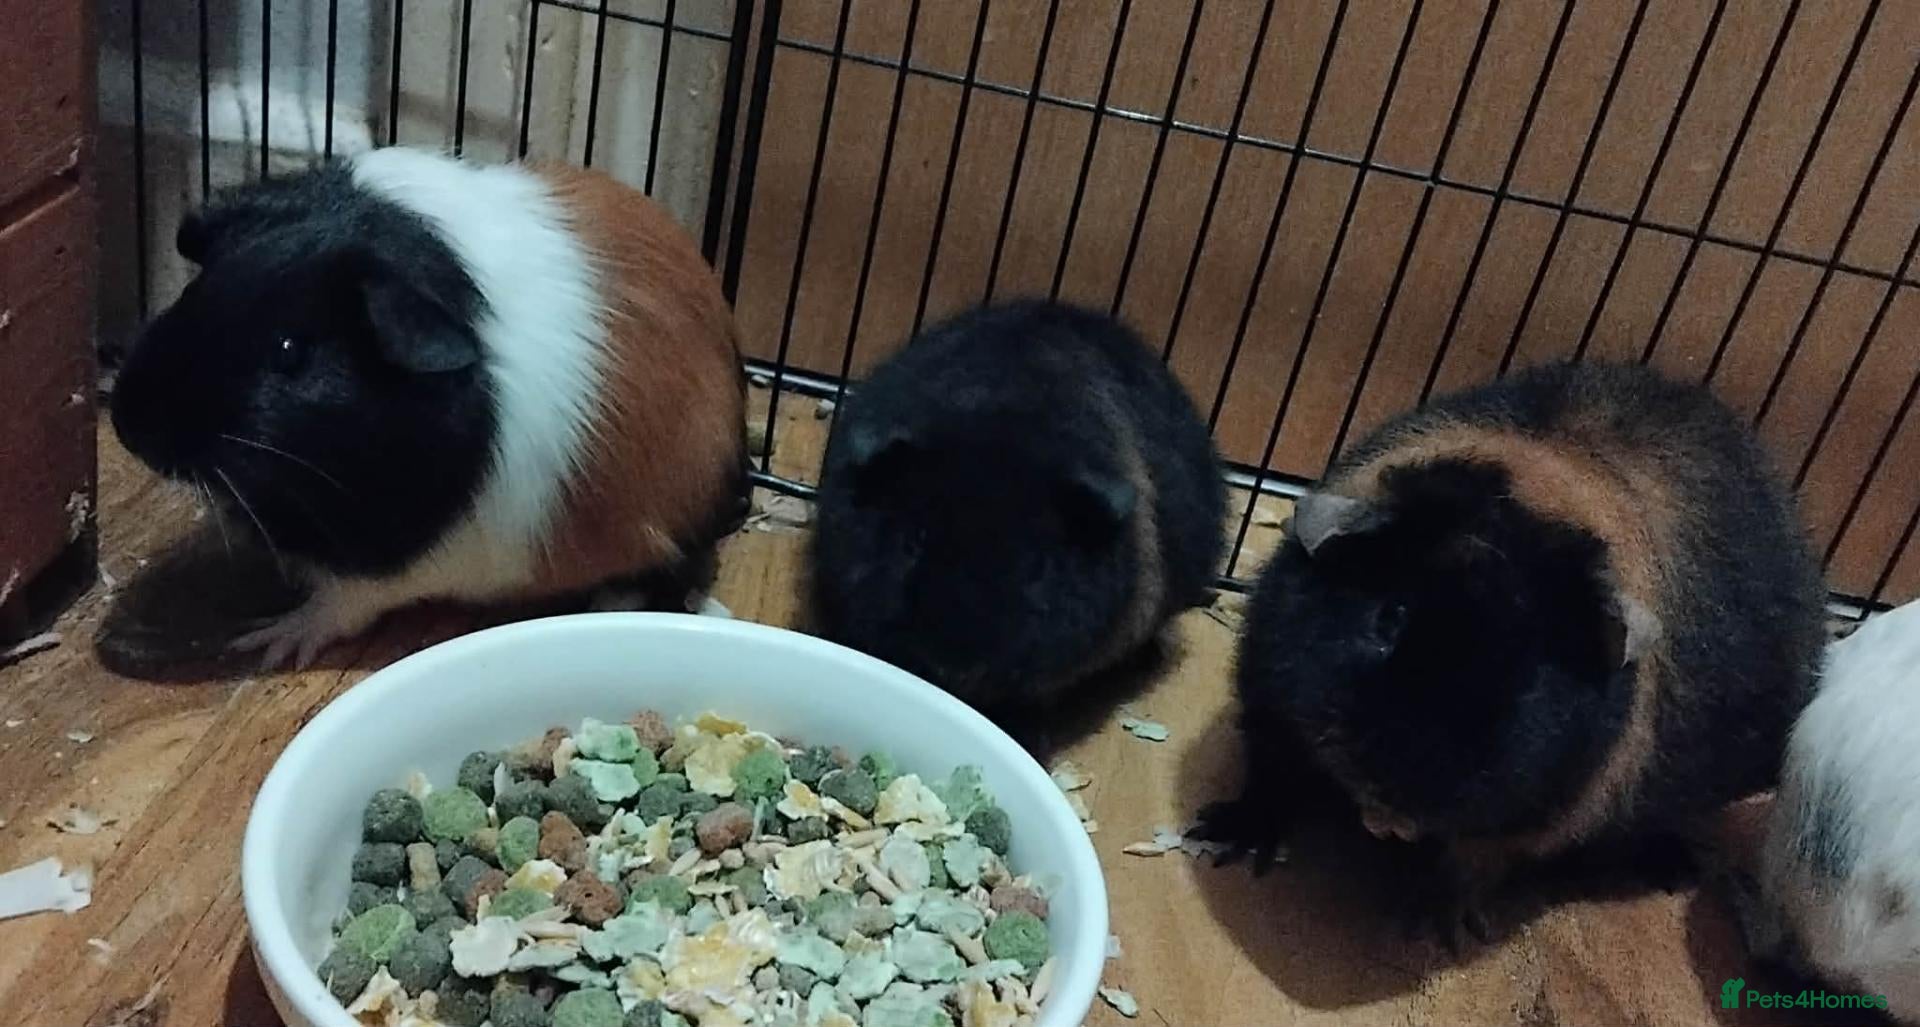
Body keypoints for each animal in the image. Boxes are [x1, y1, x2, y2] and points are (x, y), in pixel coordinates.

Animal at [110, 148, 748, 668]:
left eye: (290, 350)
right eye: (193, 290)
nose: (128, 426)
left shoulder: (404, 559)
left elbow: (342, 604)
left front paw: (269, 642)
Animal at [1200, 361, 1828, 945]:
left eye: (1528, 675)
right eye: (1390, 615)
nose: (1391, 797)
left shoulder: (1529, 821)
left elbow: (1471, 863)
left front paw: (1436, 928)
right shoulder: (1268, 708)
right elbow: (1272, 774)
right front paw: (1223, 839)